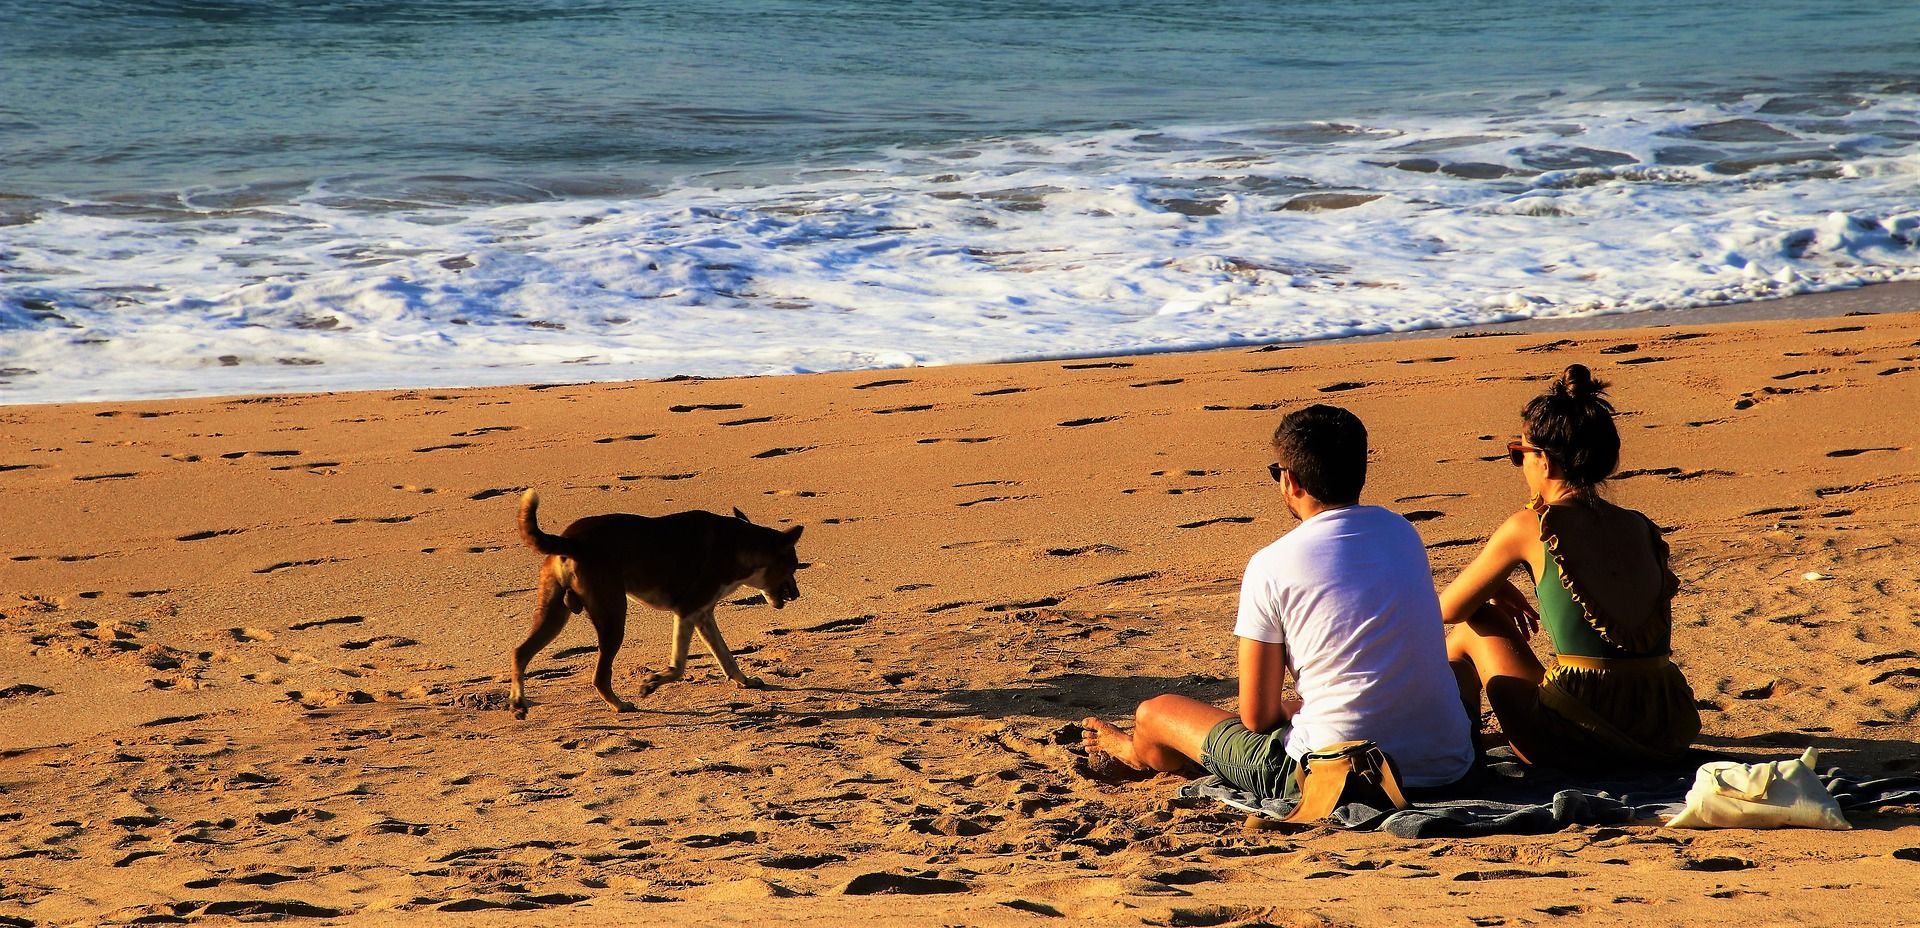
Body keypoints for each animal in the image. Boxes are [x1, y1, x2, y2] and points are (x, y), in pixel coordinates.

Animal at [503, 489, 802, 722]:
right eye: (794, 566)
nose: (798, 595)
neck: (740, 544)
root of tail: (571, 540)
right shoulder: (686, 611)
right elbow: (678, 667)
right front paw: (652, 683)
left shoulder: (702, 615)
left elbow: (726, 656)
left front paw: (745, 681)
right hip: (613, 617)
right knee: (600, 676)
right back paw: (620, 705)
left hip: (554, 614)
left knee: (520, 652)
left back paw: (518, 704)